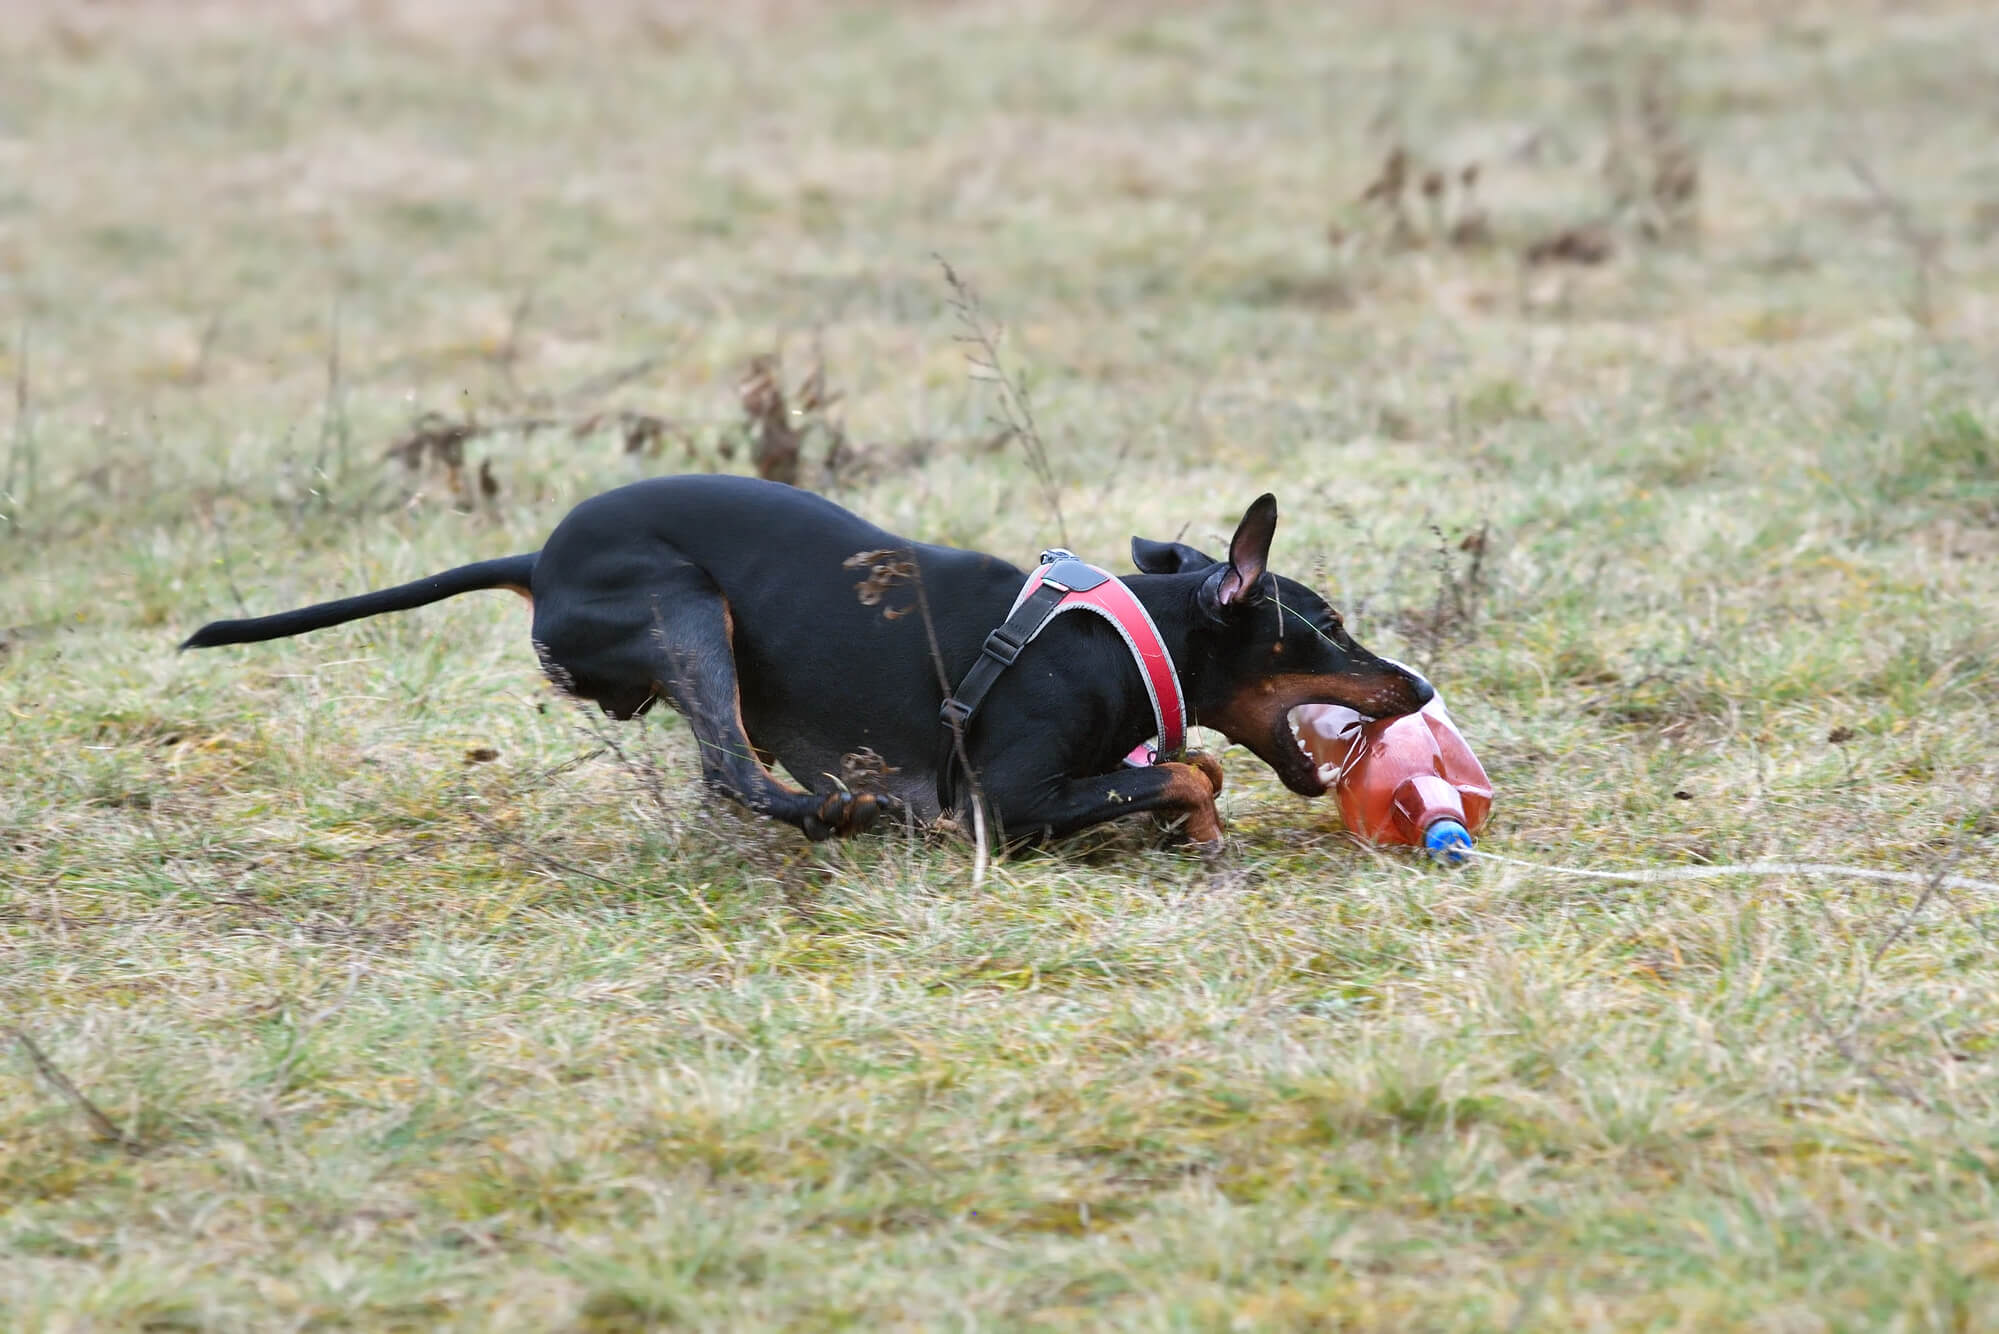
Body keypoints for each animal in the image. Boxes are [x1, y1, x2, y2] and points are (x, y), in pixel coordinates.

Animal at [179, 480, 1431, 852]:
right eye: (1325, 623)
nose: (1418, 686)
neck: (1122, 631)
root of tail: (536, 559)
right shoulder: (1009, 793)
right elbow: (1187, 769)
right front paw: (1200, 829)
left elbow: (1184, 765)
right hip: (688, 608)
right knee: (735, 771)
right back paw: (844, 813)